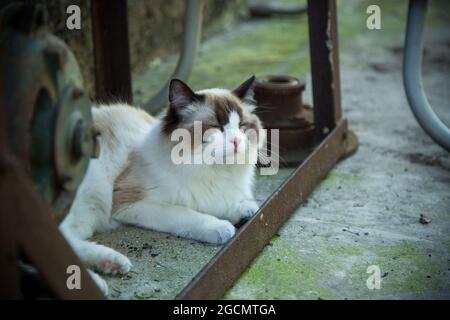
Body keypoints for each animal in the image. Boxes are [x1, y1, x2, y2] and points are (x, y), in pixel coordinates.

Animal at [59, 75, 264, 296]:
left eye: (242, 126)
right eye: (217, 126)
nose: (236, 141)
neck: (212, 170)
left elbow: (228, 204)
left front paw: (244, 210)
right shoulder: (130, 203)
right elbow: (186, 214)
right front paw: (221, 227)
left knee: (69, 241)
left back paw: (111, 264)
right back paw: (97, 283)